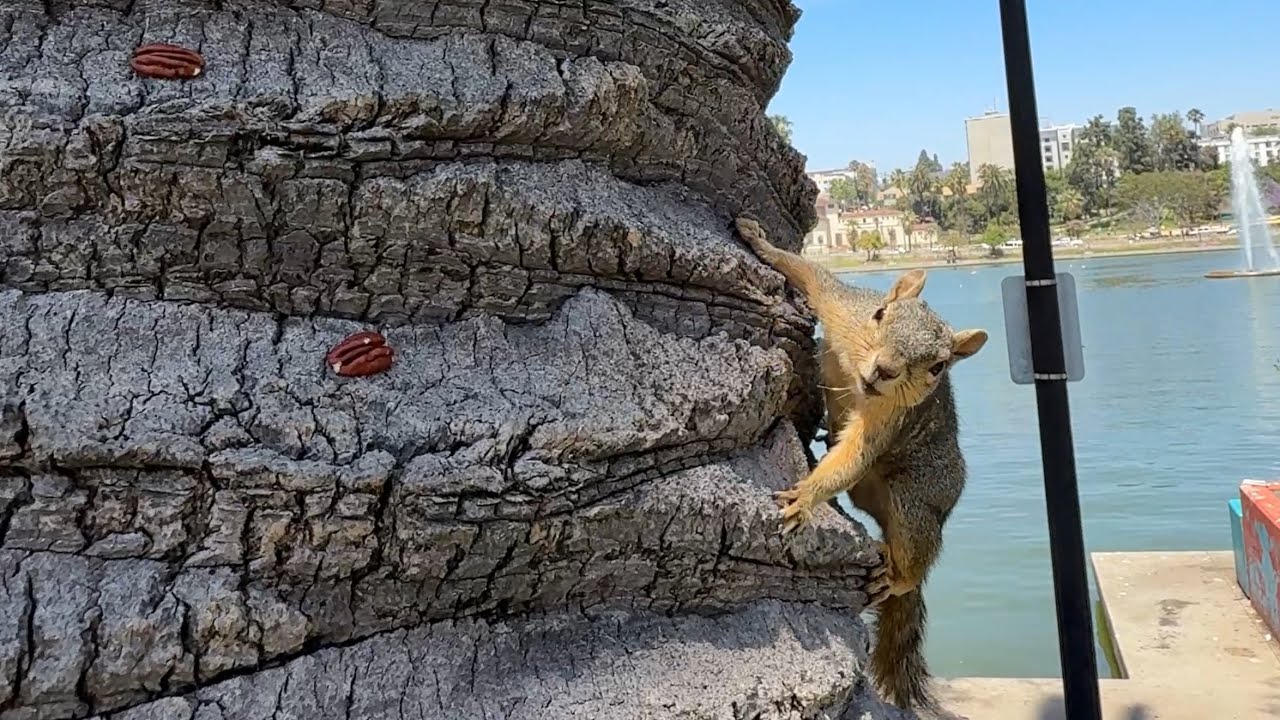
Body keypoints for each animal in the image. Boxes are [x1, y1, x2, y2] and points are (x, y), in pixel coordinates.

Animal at [734, 216, 988, 715]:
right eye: (880, 315)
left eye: (938, 367)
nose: (885, 370)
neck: (858, 380)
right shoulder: (843, 312)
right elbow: (813, 278)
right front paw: (759, 242)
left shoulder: (888, 418)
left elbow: (854, 454)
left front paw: (805, 496)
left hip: (916, 500)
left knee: (916, 558)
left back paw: (896, 578)